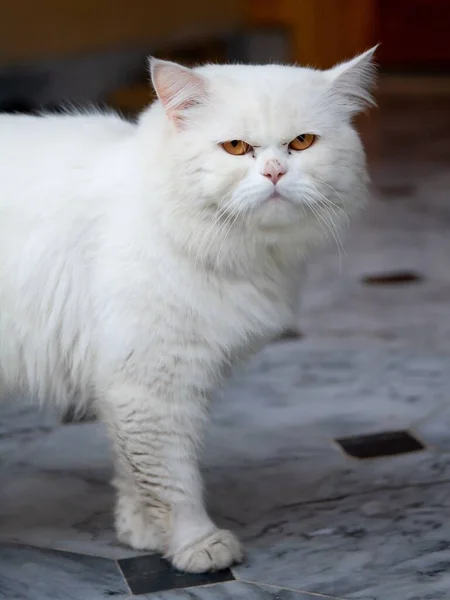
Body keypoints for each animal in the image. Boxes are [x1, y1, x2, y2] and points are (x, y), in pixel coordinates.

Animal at [0, 50, 376, 572]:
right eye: (236, 148)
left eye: (301, 143)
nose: (275, 173)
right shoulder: (150, 384)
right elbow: (171, 479)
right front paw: (196, 545)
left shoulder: (125, 382)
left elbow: (133, 472)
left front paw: (139, 533)